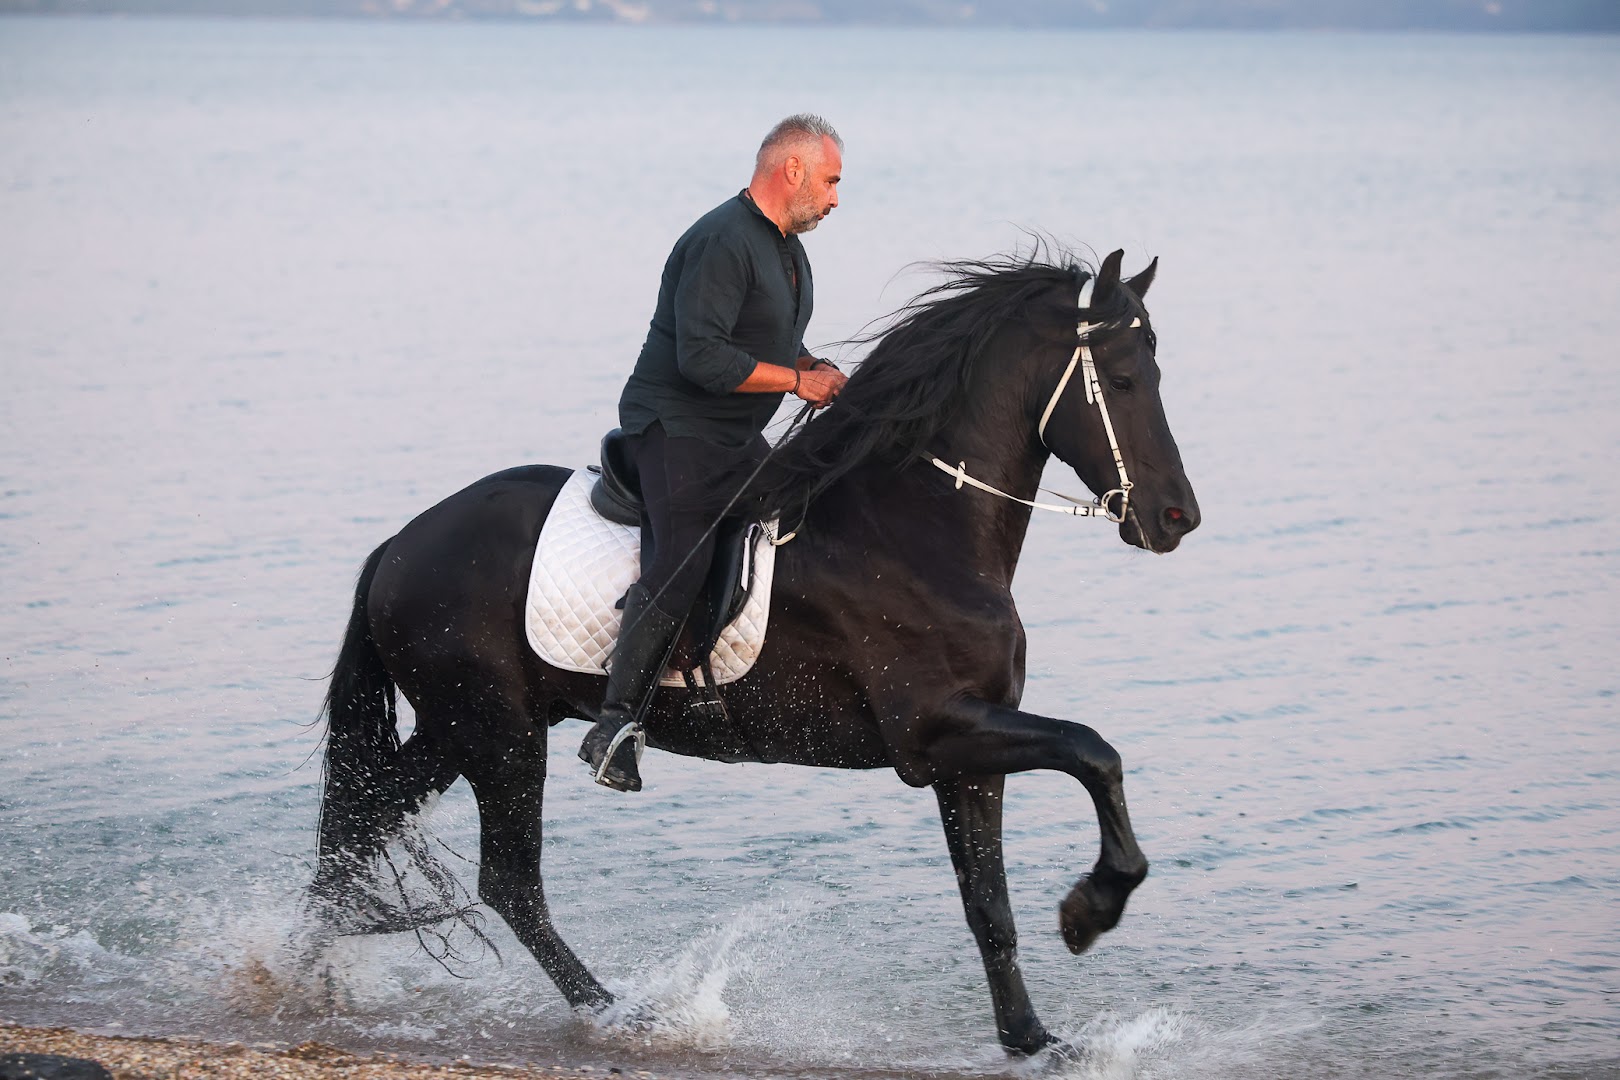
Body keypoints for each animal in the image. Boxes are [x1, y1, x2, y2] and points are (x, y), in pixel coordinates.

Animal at [307, 247, 1200, 1055]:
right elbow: (1094, 752)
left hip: (460, 731)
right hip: (496, 736)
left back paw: (309, 974)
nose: (1176, 518)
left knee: (358, 826)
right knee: (505, 881)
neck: (913, 527)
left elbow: (990, 907)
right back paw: (622, 1013)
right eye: (1124, 381)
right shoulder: (938, 734)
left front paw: (1031, 1038)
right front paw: (1091, 909)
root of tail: (399, 545)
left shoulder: (969, 757)